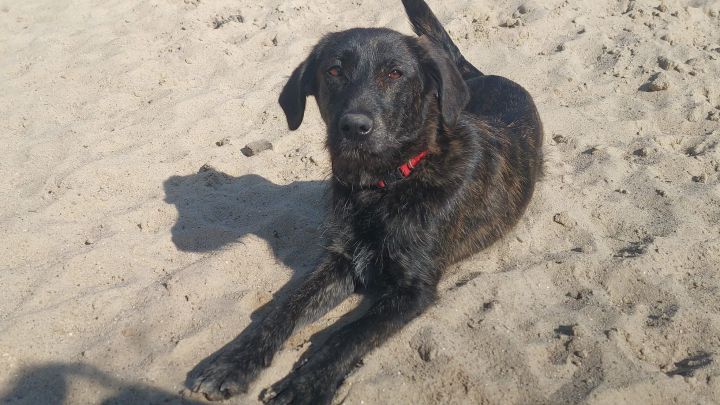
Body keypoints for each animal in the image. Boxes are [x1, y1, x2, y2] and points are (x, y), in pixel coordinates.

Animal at [188, 0, 543, 403]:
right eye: (333, 70)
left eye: (394, 73)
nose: (355, 127)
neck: (381, 185)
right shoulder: (342, 260)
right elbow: (284, 310)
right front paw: (234, 362)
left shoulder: (413, 288)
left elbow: (348, 336)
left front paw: (305, 385)